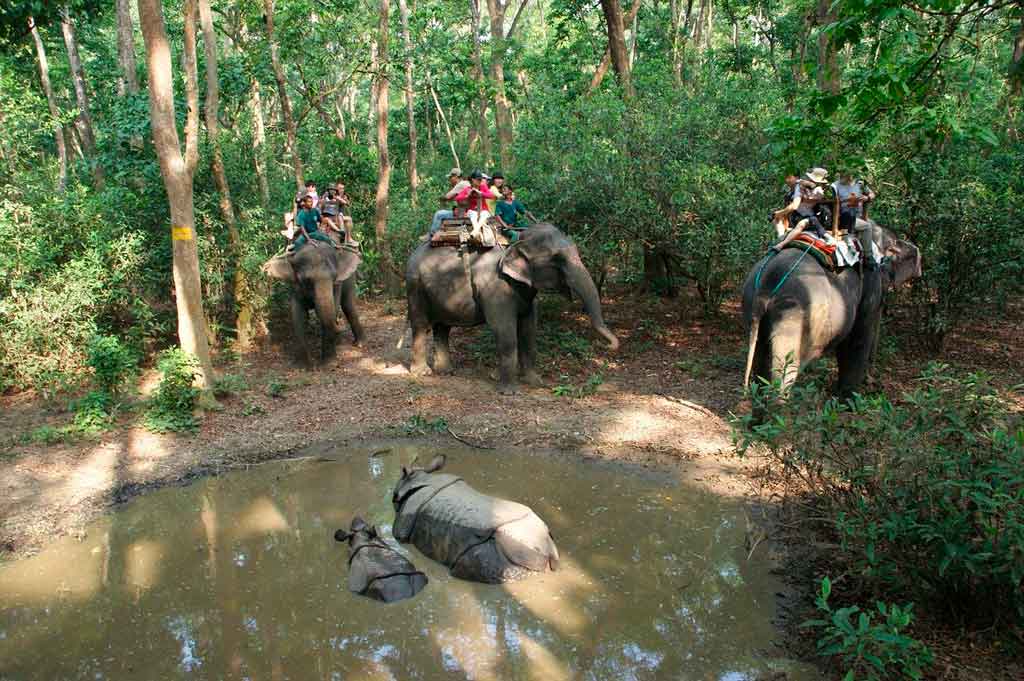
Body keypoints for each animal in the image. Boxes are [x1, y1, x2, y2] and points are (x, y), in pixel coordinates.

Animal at [389, 454, 561, 581]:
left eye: (394, 495)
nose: (393, 498)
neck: (420, 479)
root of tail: (546, 552)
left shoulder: (404, 523)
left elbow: (400, 534)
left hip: (506, 549)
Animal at [403, 223, 618, 393]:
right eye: (557, 258)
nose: (607, 346)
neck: (516, 242)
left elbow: (529, 330)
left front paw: (535, 383)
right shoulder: (494, 286)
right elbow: (504, 330)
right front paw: (510, 392)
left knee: (443, 327)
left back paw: (446, 371)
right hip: (415, 286)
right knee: (421, 325)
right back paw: (423, 373)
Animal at [741, 220, 925, 395]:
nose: (871, 380)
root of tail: (764, 288)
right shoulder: (870, 282)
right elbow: (857, 339)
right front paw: (849, 398)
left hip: (752, 302)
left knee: (761, 356)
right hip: (794, 314)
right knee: (786, 366)